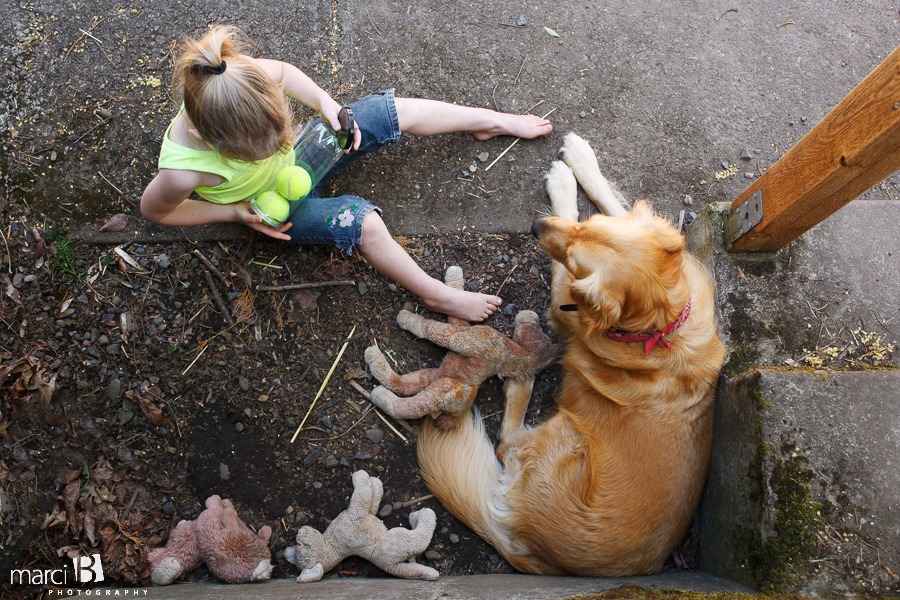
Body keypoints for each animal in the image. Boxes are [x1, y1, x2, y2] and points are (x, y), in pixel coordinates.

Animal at [418, 134, 728, 576]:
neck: (661, 325)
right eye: (587, 226)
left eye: (575, 259)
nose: (535, 227)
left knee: (506, 442)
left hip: (563, 440)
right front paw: (581, 161)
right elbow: (611, 199)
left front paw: (563, 184)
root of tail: (531, 550)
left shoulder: (565, 299)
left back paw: (520, 384)